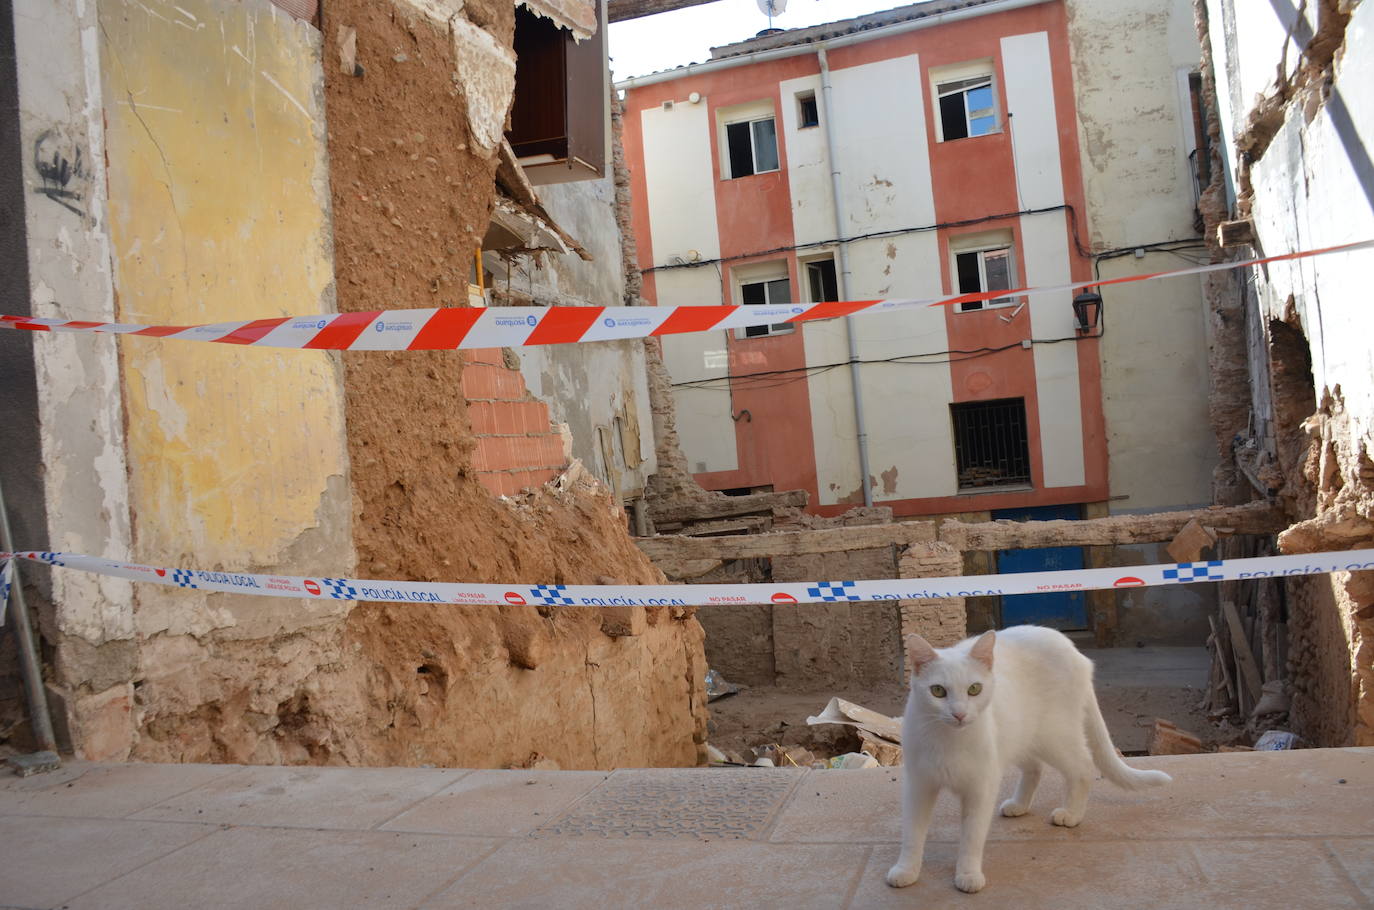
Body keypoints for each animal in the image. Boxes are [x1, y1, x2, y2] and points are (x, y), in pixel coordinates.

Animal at [890, 632, 1170, 896]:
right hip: (1022, 738)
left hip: (1054, 736)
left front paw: (968, 874)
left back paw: (1072, 814)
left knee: (1083, 767)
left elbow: (972, 836)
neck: (949, 738)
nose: (959, 714)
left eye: (974, 689)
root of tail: (1069, 646)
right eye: (938, 691)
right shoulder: (918, 786)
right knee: (1035, 768)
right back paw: (1019, 805)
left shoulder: (980, 788)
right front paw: (907, 870)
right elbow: (912, 833)